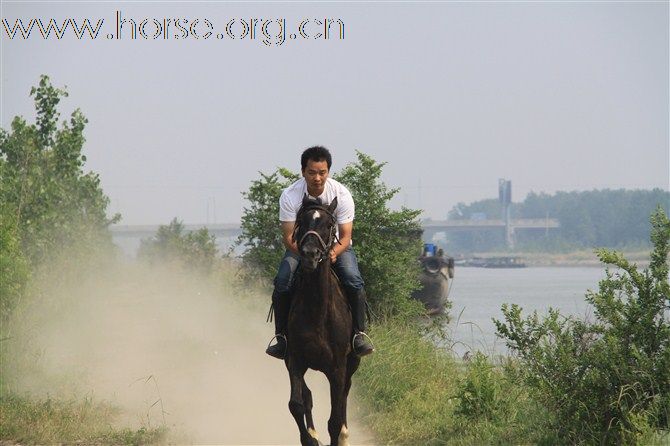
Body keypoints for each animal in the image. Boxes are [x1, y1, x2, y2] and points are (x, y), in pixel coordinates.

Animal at [288, 197, 362, 446]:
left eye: (330, 225)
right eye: (301, 222)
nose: (310, 254)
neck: (318, 313)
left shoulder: (337, 368)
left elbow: (335, 419)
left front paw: (337, 435)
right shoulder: (294, 360)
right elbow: (297, 404)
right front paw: (310, 438)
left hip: (352, 363)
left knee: (345, 396)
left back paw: (345, 435)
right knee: (307, 397)